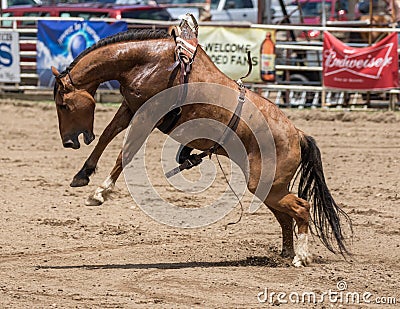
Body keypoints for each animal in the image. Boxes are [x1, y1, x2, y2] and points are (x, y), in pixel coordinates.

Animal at [51, 28, 352, 264]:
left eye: (63, 104)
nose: (69, 141)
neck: (148, 61)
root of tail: (297, 133)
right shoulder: (130, 107)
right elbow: (107, 135)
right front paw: (82, 175)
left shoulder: (148, 114)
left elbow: (125, 153)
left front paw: (100, 193)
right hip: (269, 188)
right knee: (285, 217)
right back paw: (287, 253)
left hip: (268, 185)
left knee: (301, 208)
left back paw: (301, 257)